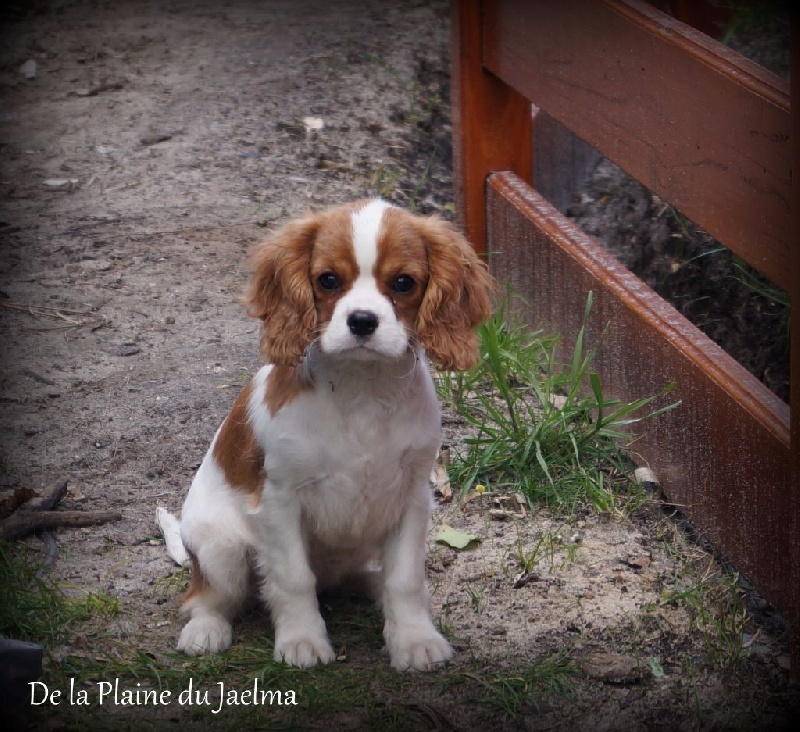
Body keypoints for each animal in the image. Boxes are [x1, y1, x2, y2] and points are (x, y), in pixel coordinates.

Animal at [173, 199, 494, 668]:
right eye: (328, 280)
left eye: (403, 283)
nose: (361, 321)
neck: (362, 388)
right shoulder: (280, 501)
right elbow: (293, 578)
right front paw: (302, 641)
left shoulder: (411, 497)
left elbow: (405, 579)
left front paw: (413, 640)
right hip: (221, 550)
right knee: (207, 596)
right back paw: (205, 630)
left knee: (362, 579)